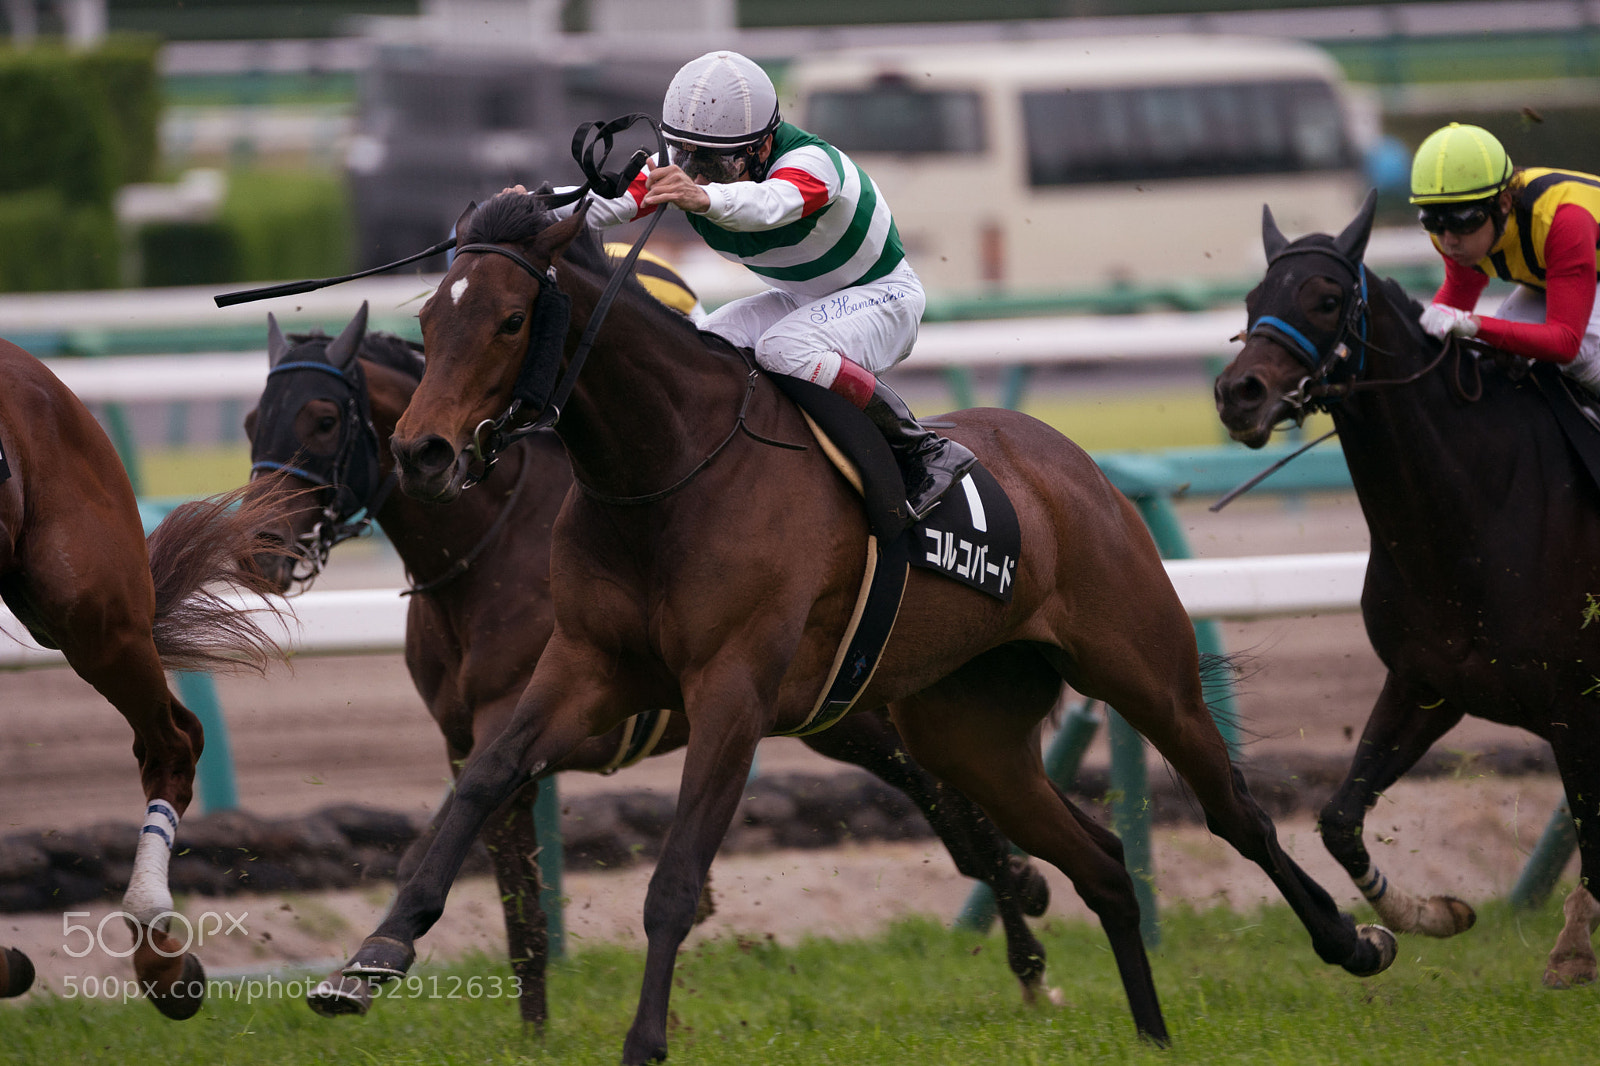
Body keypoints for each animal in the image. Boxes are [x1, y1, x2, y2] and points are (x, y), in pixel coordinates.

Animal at [239, 304, 1057, 1024]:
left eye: (323, 419)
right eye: (251, 423)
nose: (257, 550)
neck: (488, 555)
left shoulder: (536, 719)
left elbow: (437, 855)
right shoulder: (467, 740)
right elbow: (513, 907)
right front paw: (529, 1035)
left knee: (953, 800)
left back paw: (1030, 940)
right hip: (839, 716)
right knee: (940, 796)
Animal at [333, 191, 1396, 1061]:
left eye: (512, 319)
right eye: (429, 317)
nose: (424, 452)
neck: (664, 471)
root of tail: (1066, 458)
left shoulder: (734, 690)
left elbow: (674, 878)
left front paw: (644, 1041)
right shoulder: (585, 665)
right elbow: (482, 784)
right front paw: (370, 958)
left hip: (1142, 666)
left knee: (1235, 811)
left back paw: (1355, 939)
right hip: (969, 733)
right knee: (1100, 862)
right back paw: (1152, 1032)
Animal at [1214, 191, 1600, 988]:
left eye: (1327, 299)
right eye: (1253, 300)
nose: (1239, 393)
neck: (1478, 508)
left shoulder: (1577, 701)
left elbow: (1593, 828)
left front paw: (1574, 949)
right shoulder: (1428, 684)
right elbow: (1339, 819)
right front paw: (1426, 915)